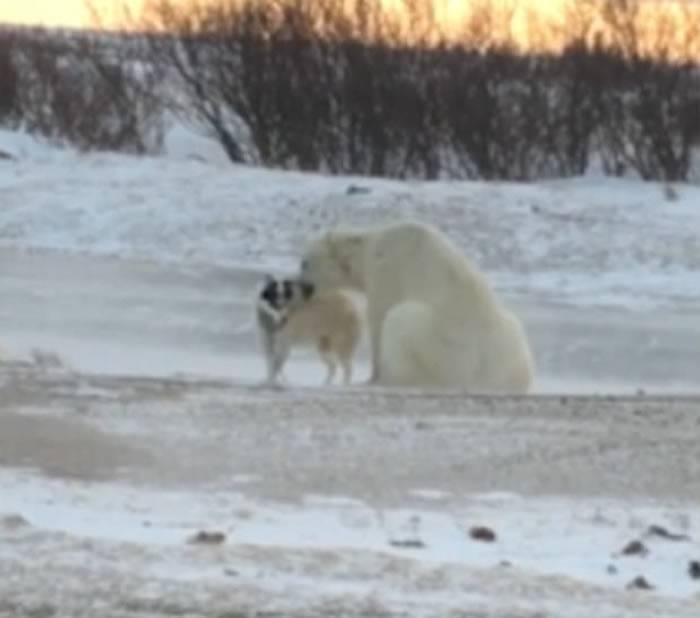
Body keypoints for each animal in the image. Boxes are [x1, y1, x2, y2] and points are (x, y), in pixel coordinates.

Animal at [298, 221, 532, 392]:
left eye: (304, 262)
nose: (299, 286)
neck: (370, 248)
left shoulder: (387, 272)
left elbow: (379, 318)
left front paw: (372, 377)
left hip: (440, 345)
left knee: (399, 319)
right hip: (513, 342)